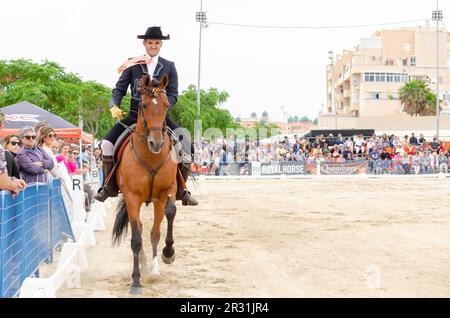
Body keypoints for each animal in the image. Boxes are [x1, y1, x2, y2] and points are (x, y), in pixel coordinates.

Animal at [110, 73, 178, 294]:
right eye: (145, 105)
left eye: (166, 104)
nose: (156, 143)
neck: (151, 157)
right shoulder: (132, 197)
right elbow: (136, 240)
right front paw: (136, 281)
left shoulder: (166, 192)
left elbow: (164, 221)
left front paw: (167, 253)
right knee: (137, 228)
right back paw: (143, 264)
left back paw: (152, 265)